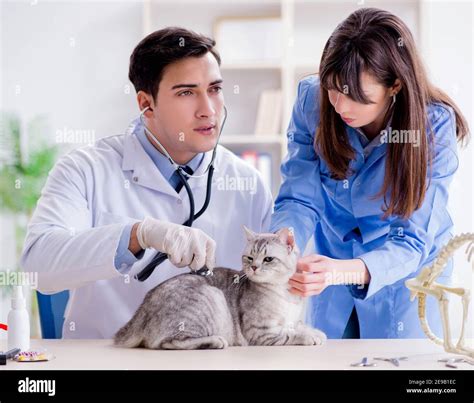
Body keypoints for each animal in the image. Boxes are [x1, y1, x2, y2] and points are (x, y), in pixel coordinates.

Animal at [115, 227, 326, 350]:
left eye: (268, 259)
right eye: (249, 257)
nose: (254, 267)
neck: (284, 292)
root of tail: (144, 306)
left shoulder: (292, 320)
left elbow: (298, 325)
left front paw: (316, 332)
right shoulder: (261, 332)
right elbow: (289, 334)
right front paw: (309, 337)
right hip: (211, 298)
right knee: (167, 343)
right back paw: (215, 341)